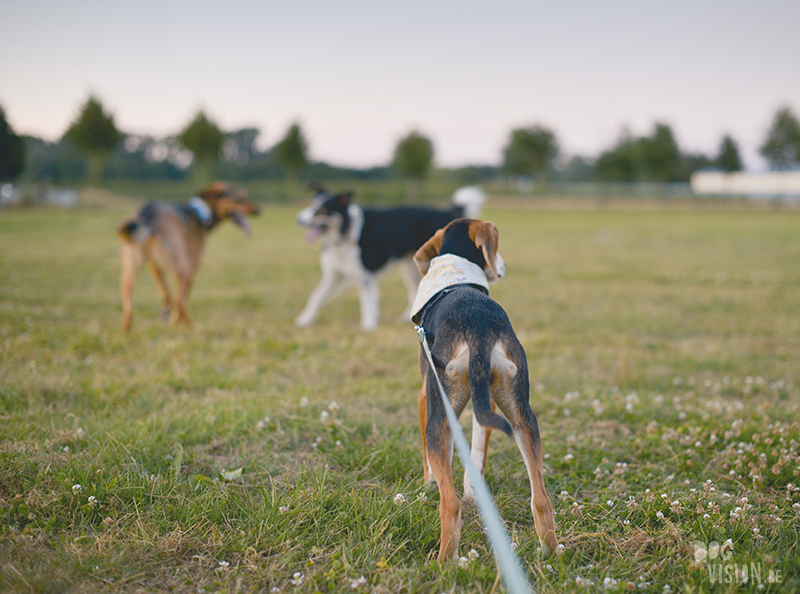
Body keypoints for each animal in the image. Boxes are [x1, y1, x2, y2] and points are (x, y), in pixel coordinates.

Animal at [117, 182, 260, 328]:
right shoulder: (192, 268)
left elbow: (166, 294)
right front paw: (175, 320)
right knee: (180, 302)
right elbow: (181, 298)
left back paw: (126, 328)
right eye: (240, 198)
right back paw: (191, 326)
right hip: (183, 268)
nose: (258, 210)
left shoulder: (155, 267)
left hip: (131, 268)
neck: (200, 214)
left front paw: (167, 315)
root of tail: (148, 214)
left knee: (128, 300)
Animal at [412, 219, 556, 560]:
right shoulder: (486, 403)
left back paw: (444, 563)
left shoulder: (425, 397)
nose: (503, 266)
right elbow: (476, 453)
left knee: (450, 505)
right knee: (541, 498)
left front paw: (428, 482)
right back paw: (551, 553)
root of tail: (477, 327)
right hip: (522, 415)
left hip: (439, 414)